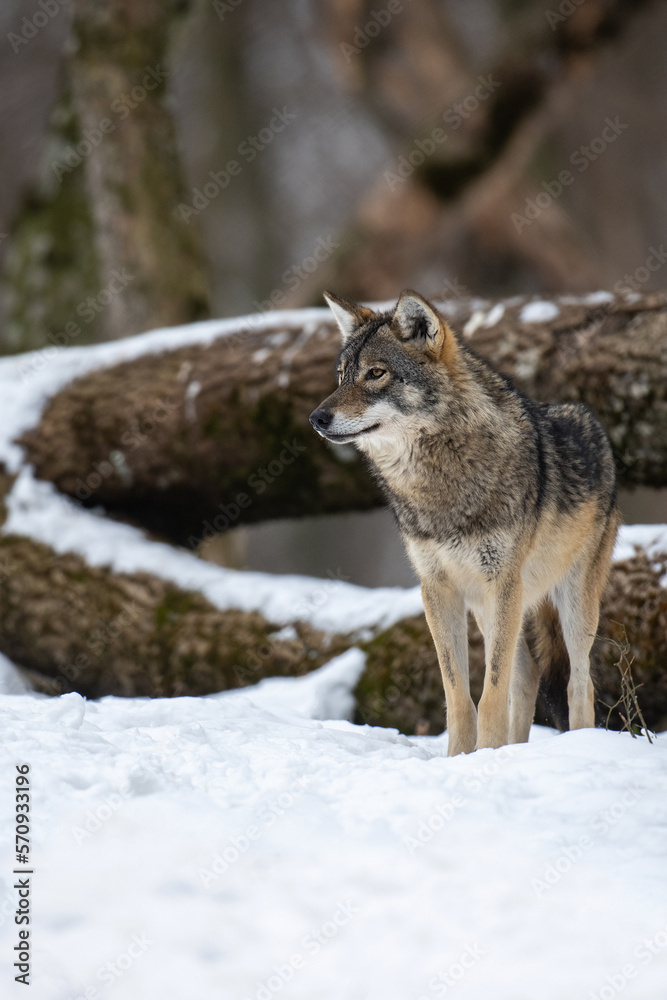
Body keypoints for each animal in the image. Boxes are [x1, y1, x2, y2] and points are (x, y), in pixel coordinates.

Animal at [310, 290, 620, 754]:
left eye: (376, 373)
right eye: (342, 375)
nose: (317, 418)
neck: (440, 485)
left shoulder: (503, 581)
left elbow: (490, 694)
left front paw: (485, 755)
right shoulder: (437, 588)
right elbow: (459, 694)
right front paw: (461, 758)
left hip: (571, 603)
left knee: (579, 685)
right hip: (490, 607)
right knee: (526, 675)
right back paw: (515, 751)